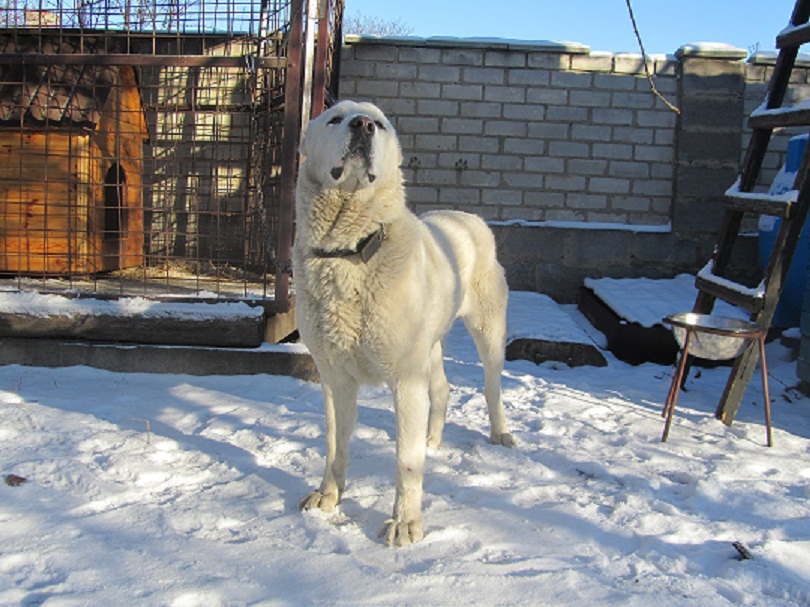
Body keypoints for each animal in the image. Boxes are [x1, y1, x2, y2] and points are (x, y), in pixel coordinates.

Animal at [294, 100, 516, 548]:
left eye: (378, 124)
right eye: (335, 119)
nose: (362, 126)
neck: (351, 253)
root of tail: (468, 216)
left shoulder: (405, 379)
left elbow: (405, 461)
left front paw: (405, 523)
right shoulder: (333, 376)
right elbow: (334, 443)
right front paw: (328, 496)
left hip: (487, 331)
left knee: (491, 385)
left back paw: (499, 433)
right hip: (429, 344)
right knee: (443, 389)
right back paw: (432, 440)